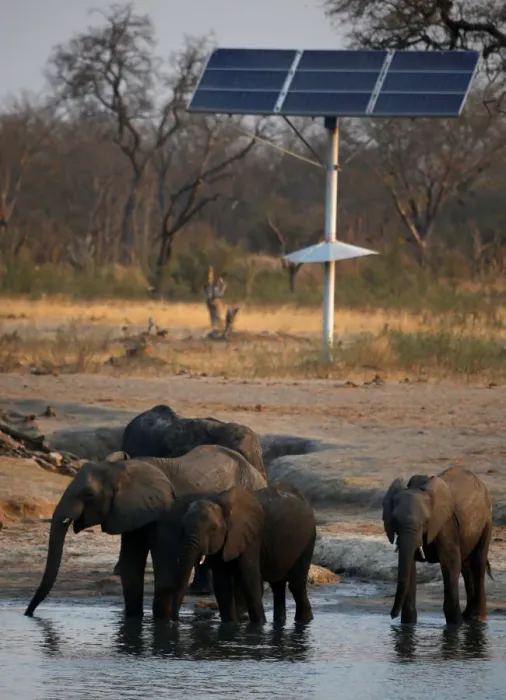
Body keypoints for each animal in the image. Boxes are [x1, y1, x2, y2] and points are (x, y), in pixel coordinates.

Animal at [24, 445, 267, 618]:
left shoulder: (165, 511)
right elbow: (131, 564)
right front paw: (134, 619)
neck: (121, 469)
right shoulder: (131, 512)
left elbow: (165, 563)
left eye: (88, 495)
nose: (29, 613)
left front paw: (164, 621)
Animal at [158, 481, 316, 625]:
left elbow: (249, 580)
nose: (175, 621)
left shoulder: (251, 536)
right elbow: (222, 584)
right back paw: (280, 622)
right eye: (183, 527)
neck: (219, 502)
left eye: (213, 529)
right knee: (277, 584)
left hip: (309, 539)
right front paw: (230, 625)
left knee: (296, 584)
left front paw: (259, 625)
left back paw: (304, 621)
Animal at [383, 465, 493, 625]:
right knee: (466, 567)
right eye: (395, 520)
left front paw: (456, 625)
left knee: (478, 563)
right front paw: (408, 624)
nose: (391, 615)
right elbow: (410, 566)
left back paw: (478, 618)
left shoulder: (445, 525)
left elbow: (450, 564)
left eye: (425, 521)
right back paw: (468, 616)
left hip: (487, 520)